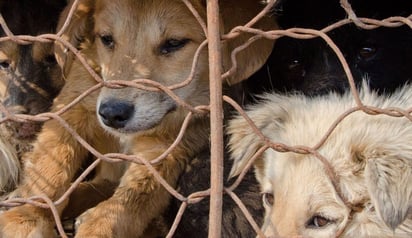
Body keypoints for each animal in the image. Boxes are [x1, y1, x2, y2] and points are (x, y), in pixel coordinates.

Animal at [0, 0, 276, 236]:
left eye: (174, 43)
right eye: (107, 39)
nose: (112, 113)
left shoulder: (164, 148)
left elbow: (131, 200)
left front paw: (98, 227)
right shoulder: (71, 106)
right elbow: (50, 166)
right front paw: (26, 216)